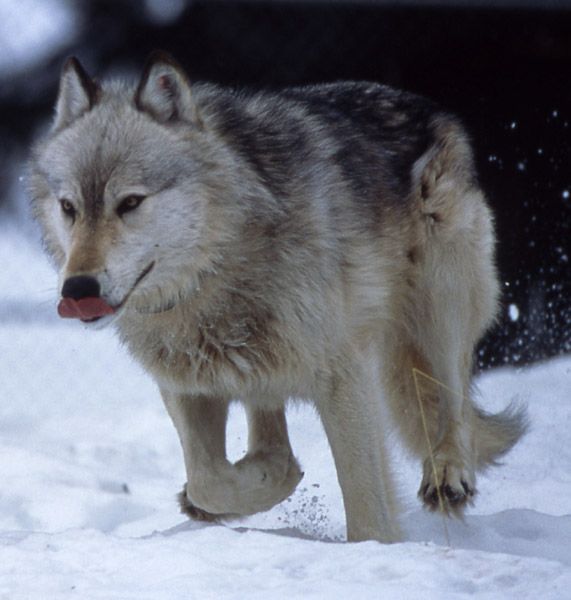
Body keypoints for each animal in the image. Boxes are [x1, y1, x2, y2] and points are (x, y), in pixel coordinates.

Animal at [26, 52, 528, 544]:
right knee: (271, 439)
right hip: (263, 365)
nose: (78, 289)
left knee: (455, 402)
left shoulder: (342, 374)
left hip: (440, 309)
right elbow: (211, 479)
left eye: (130, 203)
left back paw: (449, 475)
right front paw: (249, 487)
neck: (216, 271)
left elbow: (366, 505)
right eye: (70, 208)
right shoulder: (187, 385)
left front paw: (374, 549)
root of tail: (433, 110)